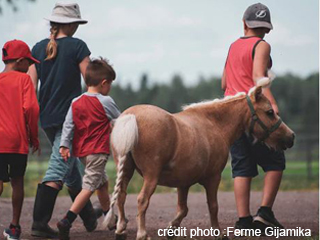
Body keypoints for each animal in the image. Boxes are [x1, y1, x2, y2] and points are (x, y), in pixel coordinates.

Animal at [104, 86, 294, 240]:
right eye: (270, 112)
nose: (291, 136)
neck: (214, 124)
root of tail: (132, 116)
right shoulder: (213, 178)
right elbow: (213, 206)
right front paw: (218, 233)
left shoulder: (183, 183)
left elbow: (183, 209)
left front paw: (171, 229)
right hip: (151, 176)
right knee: (142, 200)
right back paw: (142, 234)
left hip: (126, 170)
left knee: (121, 196)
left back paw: (120, 229)